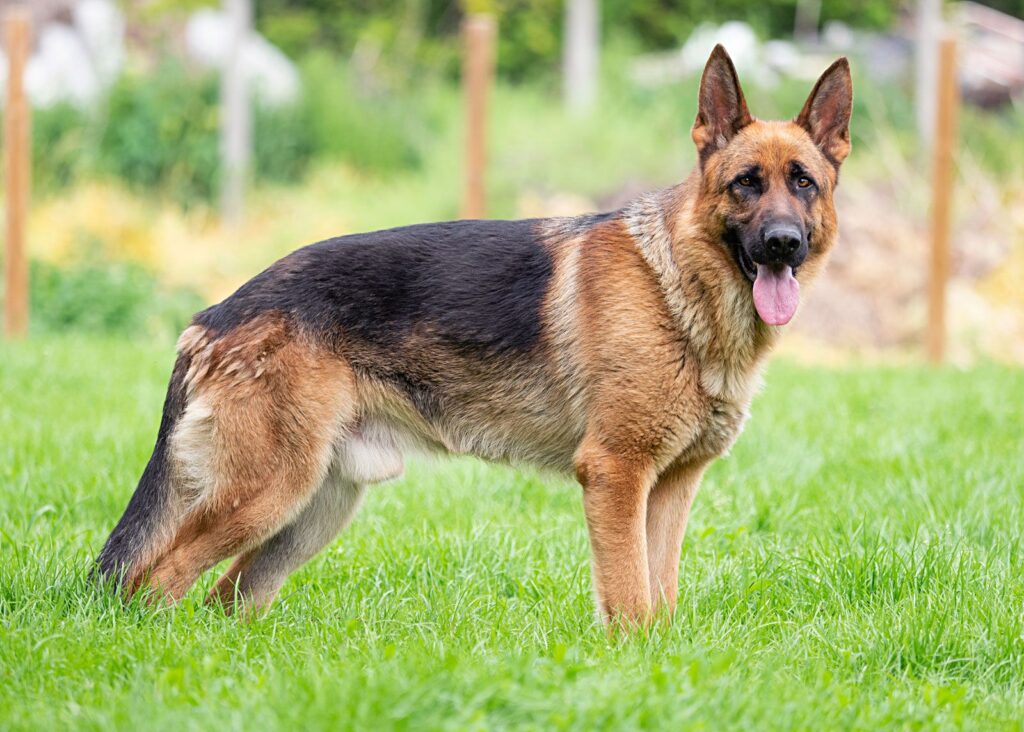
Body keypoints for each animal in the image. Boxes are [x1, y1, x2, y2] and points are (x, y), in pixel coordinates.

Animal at [96, 45, 851, 626]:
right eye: (746, 183)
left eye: (803, 183)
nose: (782, 244)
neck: (680, 287)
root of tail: (217, 312)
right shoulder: (615, 474)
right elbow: (631, 599)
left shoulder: (669, 488)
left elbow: (658, 596)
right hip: (267, 492)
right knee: (154, 579)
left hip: (314, 507)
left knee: (225, 597)